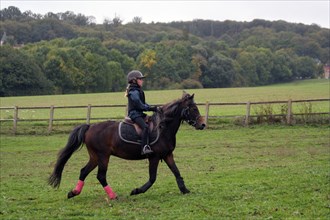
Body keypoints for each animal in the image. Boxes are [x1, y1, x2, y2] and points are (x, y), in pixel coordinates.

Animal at [47, 92, 205, 200]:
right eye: (193, 108)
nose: (202, 124)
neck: (163, 128)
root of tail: (90, 127)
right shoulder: (154, 157)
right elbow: (152, 178)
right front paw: (136, 191)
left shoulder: (167, 155)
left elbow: (176, 172)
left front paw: (184, 189)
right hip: (103, 156)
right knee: (101, 176)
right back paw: (113, 196)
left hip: (95, 156)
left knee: (84, 171)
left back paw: (74, 192)